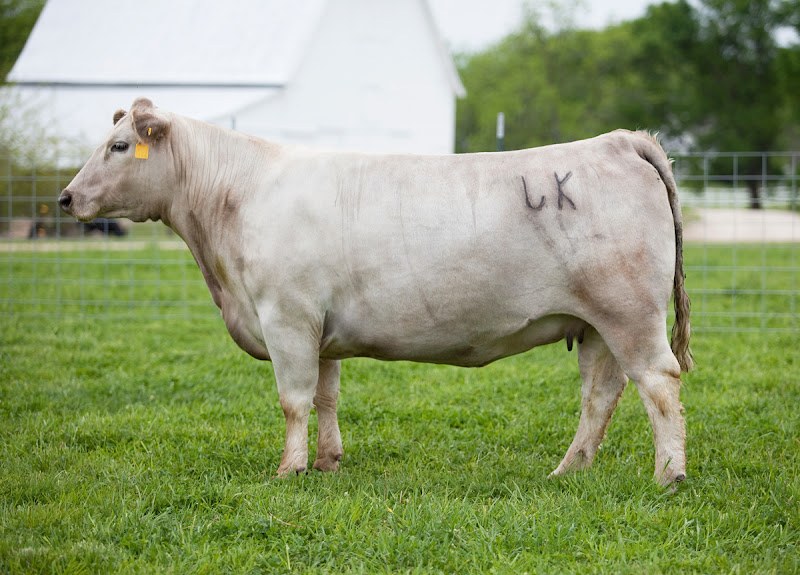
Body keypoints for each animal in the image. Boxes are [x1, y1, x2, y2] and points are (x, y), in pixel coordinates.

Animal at [59, 98, 693, 487]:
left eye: (119, 146)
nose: (65, 198)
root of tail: (618, 140)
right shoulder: (320, 329)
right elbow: (326, 396)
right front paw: (327, 461)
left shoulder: (287, 316)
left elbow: (293, 399)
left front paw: (289, 470)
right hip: (595, 325)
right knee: (600, 394)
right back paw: (570, 470)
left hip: (630, 313)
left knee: (658, 382)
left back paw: (669, 475)